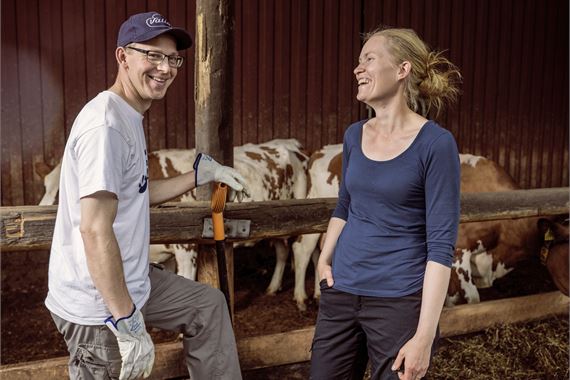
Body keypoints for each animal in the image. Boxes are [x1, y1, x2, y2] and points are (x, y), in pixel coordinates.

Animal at [36, 140, 308, 288]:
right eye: (45, 187)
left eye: (62, 194)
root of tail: (292, 147)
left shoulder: (186, 249)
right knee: (282, 251)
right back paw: (273, 287)